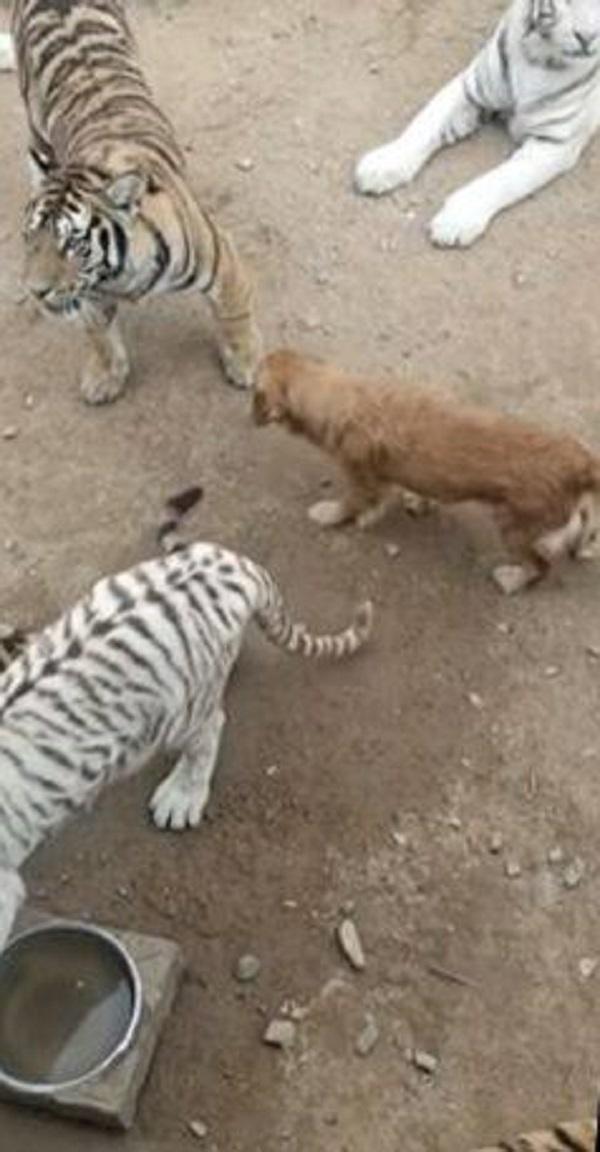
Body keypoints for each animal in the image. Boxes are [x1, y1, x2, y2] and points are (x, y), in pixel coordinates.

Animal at [352, 0, 598, 247]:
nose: (588, 38)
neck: (538, 56)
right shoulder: (470, 89)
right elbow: (425, 123)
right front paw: (384, 164)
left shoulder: (555, 142)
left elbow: (503, 177)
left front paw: (456, 218)